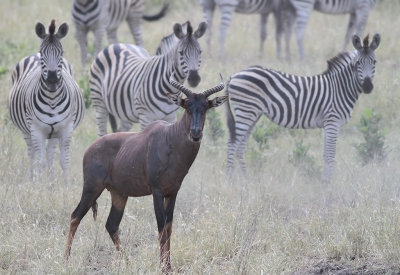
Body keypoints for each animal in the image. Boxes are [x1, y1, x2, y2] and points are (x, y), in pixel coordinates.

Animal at [9, 21, 85, 181]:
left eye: (61, 53)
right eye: (43, 53)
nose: (52, 81)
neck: (52, 100)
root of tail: (33, 55)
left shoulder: (65, 128)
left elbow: (63, 160)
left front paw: (64, 184)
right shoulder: (36, 130)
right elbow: (40, 161)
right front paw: (38, 184)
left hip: (53, 132)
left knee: (50, 154)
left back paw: (51, 181)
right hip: (27, 130)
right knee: (32, 154)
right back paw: (32, 179)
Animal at [227, 33, 380, 182]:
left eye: (374, 62)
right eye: (357, 63)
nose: (368, 87)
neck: (340, 87)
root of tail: (234, 76)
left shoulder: (327, 124)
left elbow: (325, 155)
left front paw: (324, 181)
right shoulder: (332, 121)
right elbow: (331, 155)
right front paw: (329, 184)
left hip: (253, 114)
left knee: (240, 146)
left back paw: (246, 181)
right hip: (246, 111)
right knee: (232, 144)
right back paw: (229, 180)